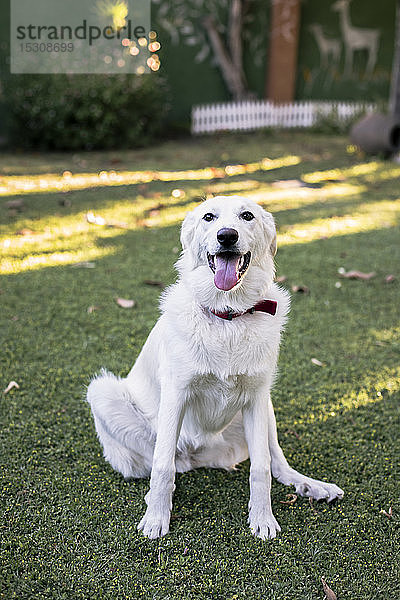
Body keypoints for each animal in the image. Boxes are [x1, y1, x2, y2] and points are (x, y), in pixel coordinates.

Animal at [87, 196, 344, 540]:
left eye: (247, 216)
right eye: (209, 217)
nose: (227, 236)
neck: (228, 316)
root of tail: (199, 456)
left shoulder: (256, 399)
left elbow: (261, 468)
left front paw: (262, 518)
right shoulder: (175, 396)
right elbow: (162, 466)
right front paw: (156, 518)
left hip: (266, 407)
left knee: (278, 464)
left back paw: (311, 486)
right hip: (103, 392)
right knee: (162, 463)